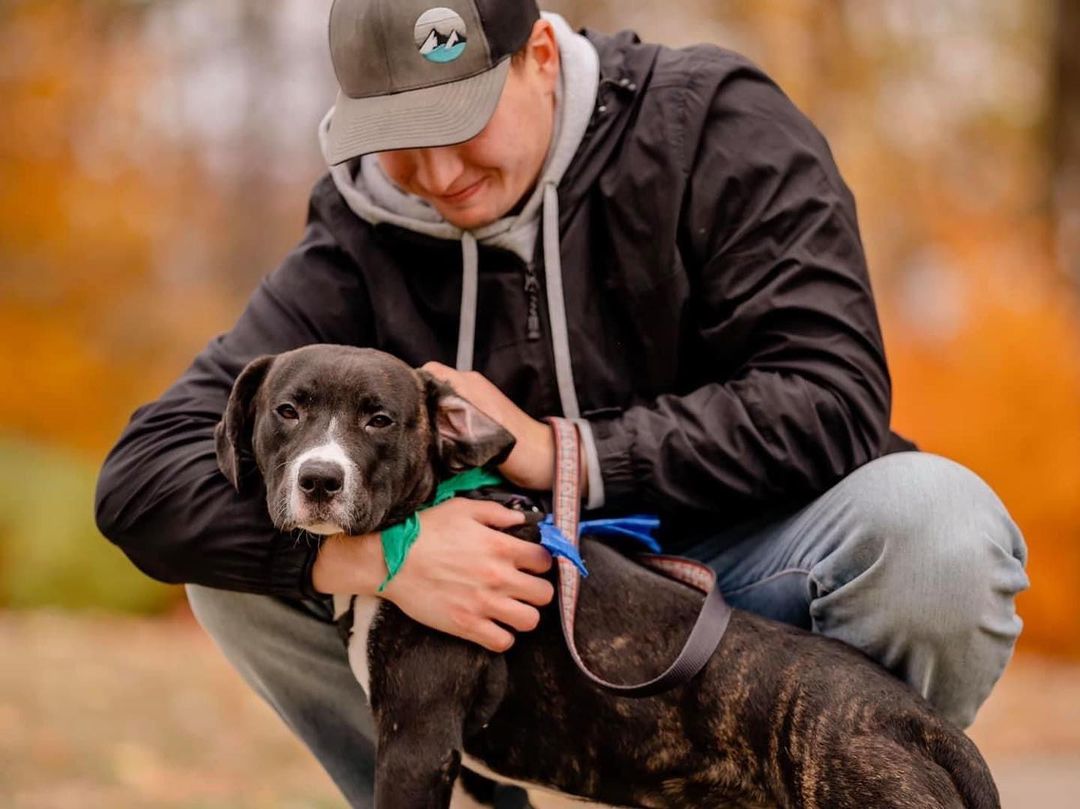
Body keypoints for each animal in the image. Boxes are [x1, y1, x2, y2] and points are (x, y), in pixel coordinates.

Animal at [214, 343, 997, 807]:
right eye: (287, 411)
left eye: (379, 419)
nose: (319, 479)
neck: (424, 512)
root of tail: (927, 729)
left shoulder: (416, 745)